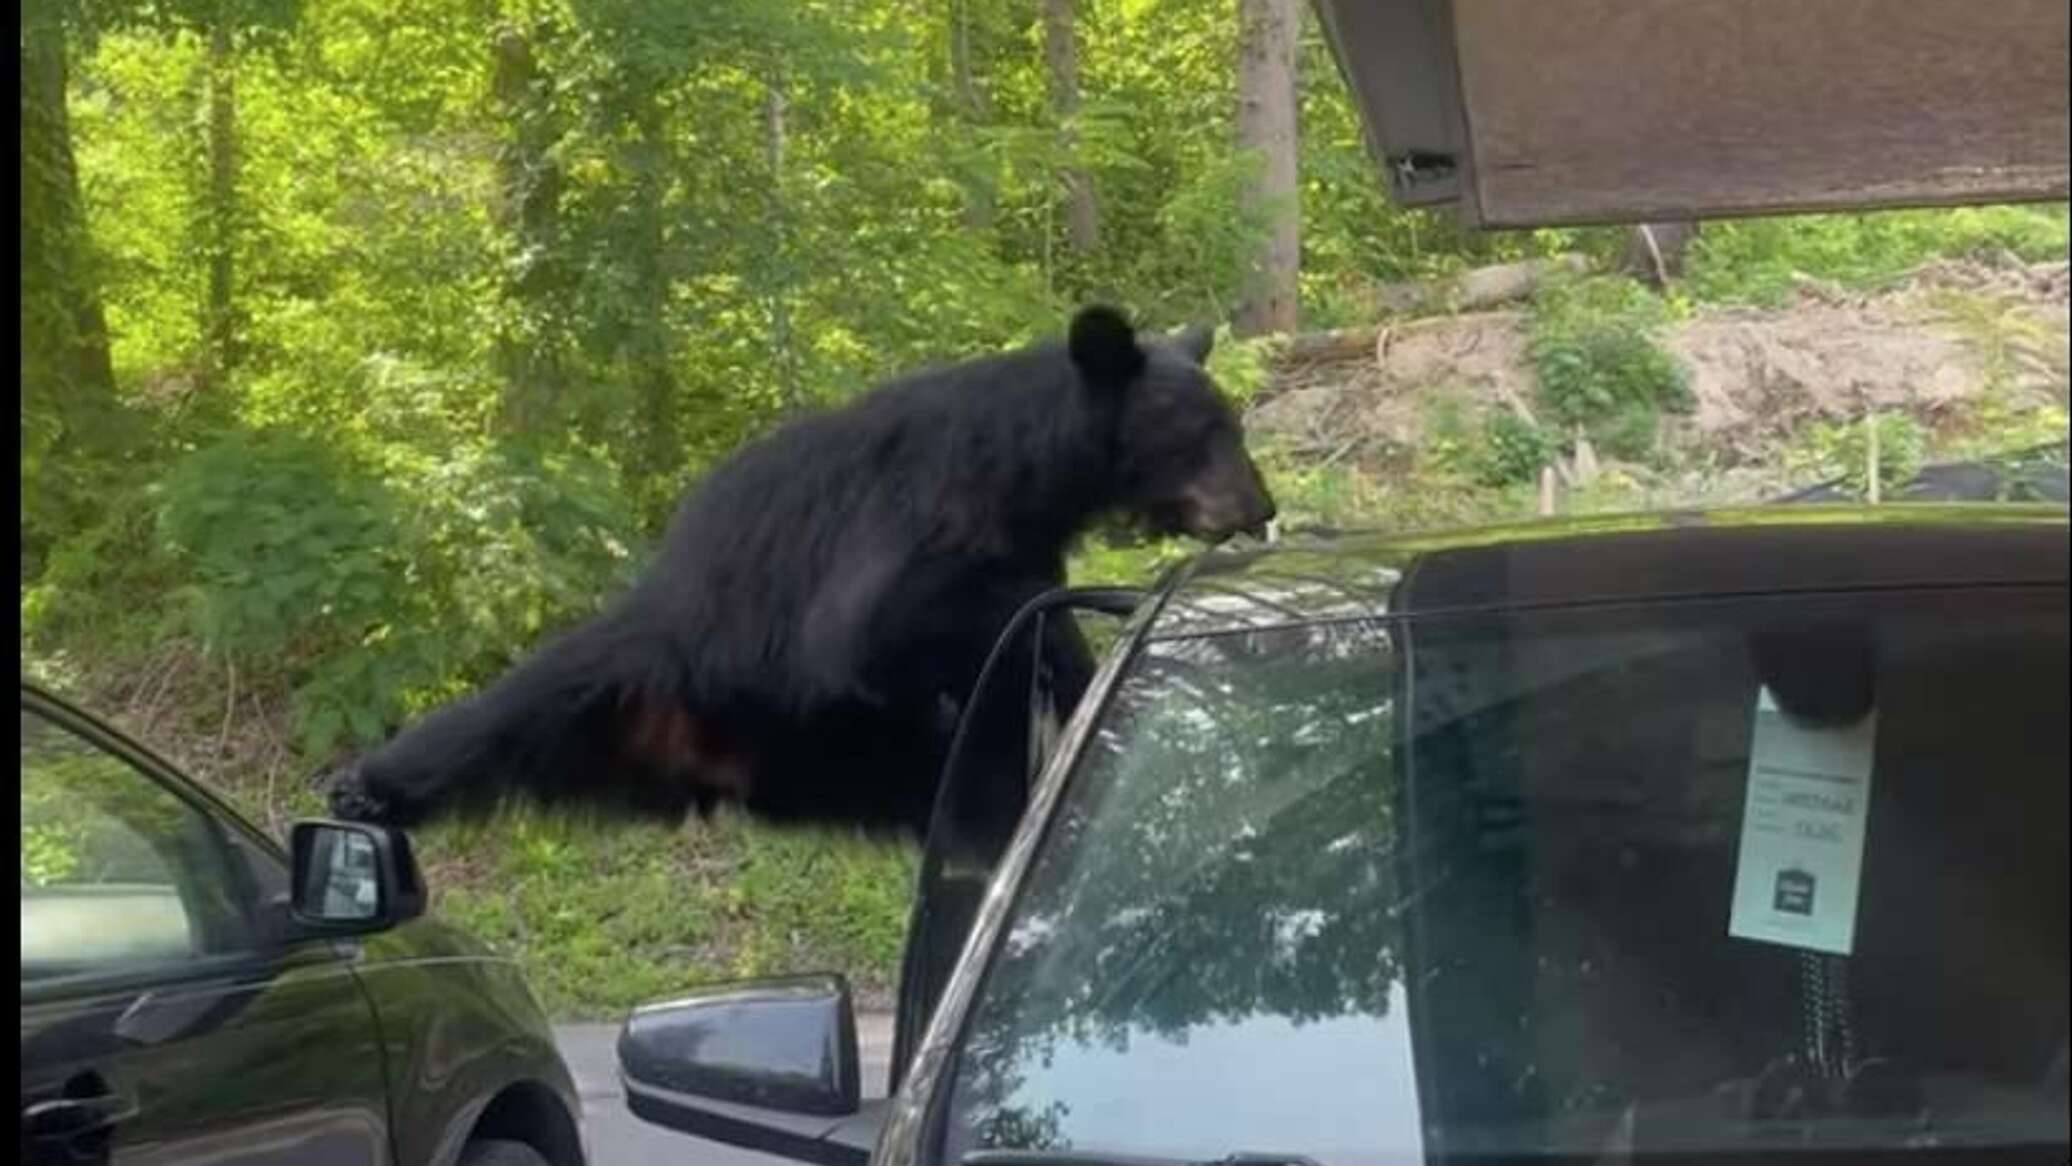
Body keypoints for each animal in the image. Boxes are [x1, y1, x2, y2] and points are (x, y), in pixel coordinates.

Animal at [321, 308, 1268, 840]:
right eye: (1201, 432)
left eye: (1231, 424)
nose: (1258, 505)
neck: (1032, 477)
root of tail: (714, 760)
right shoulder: (911, 522)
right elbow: (882, 621)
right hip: (630, 667)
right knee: (488, 722)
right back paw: (367, 789)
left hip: (857, 764)